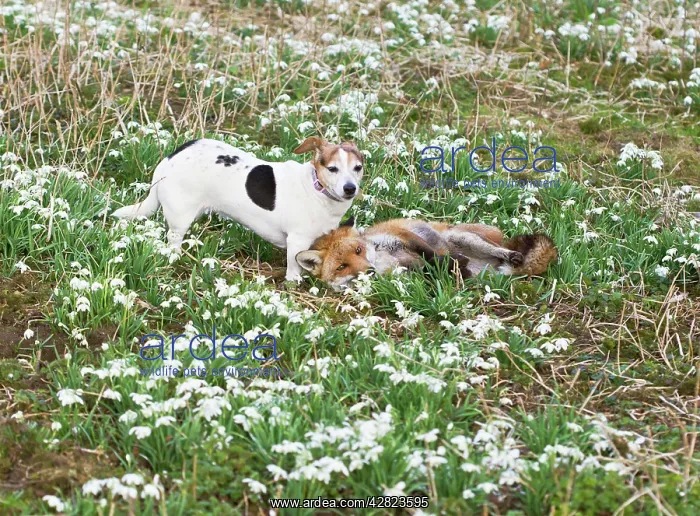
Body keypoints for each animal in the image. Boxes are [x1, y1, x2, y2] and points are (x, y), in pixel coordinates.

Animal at [295, 217, 558, 291]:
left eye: (358, 250)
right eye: (341, 267)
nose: (368, 271)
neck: (383, 259)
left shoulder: (403, 237)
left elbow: (432, 254)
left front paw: (450, 261)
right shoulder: (407, 272)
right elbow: (430, 269)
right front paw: (450, 267)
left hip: (466, 239)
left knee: (502, 250)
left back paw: (511, 255)